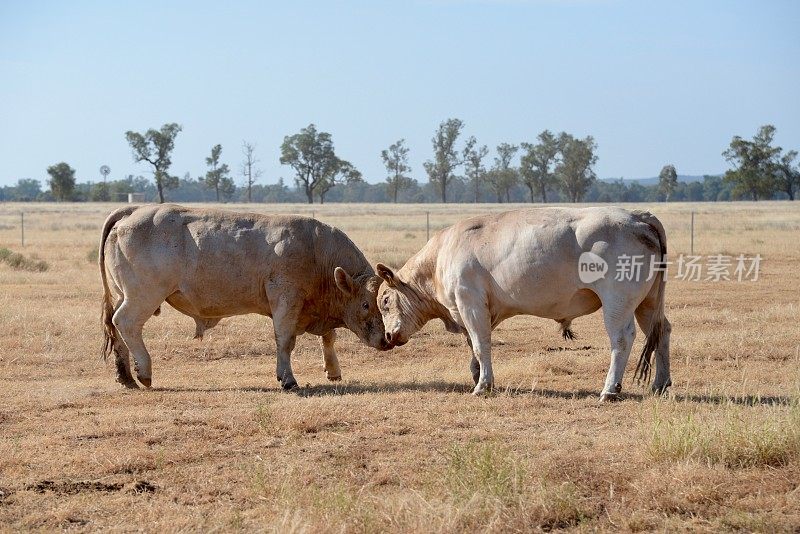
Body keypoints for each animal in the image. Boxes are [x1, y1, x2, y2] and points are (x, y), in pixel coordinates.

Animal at [101, 204, 390, 390]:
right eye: (366, 304)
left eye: (385, 303)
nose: (387, 340)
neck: (318, 252)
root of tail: (133, 211)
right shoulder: (286, 299)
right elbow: (285, 341)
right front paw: (288, 379)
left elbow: (329, 337)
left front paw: (333, 370)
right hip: (143, 296)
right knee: (126, 323)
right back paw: (144, 372)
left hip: (124, 294)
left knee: (115, 327)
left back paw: (125, 376)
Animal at [378, 207, 672, 400]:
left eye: (385, 301)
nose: (388, 336)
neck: (440, 258)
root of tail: (638, 217)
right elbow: (473, 347)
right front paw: (478, 375)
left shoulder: (470, 303)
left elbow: (481, 345)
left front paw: (483, 385)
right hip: (648, 302)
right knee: (661, 332)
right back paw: (660, 383)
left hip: (618, 302)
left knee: (622, 338)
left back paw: (610, 389)